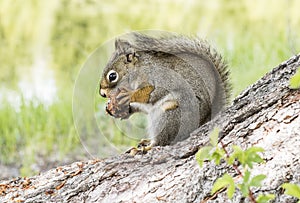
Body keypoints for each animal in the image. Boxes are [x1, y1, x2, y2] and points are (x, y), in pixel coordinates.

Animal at [99, 31, 231, 151]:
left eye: (112, 76)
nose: (102, 94)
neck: (137, 71)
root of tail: (205, 120)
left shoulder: (160, 78)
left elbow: (153, 93)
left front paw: (129, 95)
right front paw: (118, 109)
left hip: (170, 114)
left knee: (163, 140)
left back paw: (149, 146)